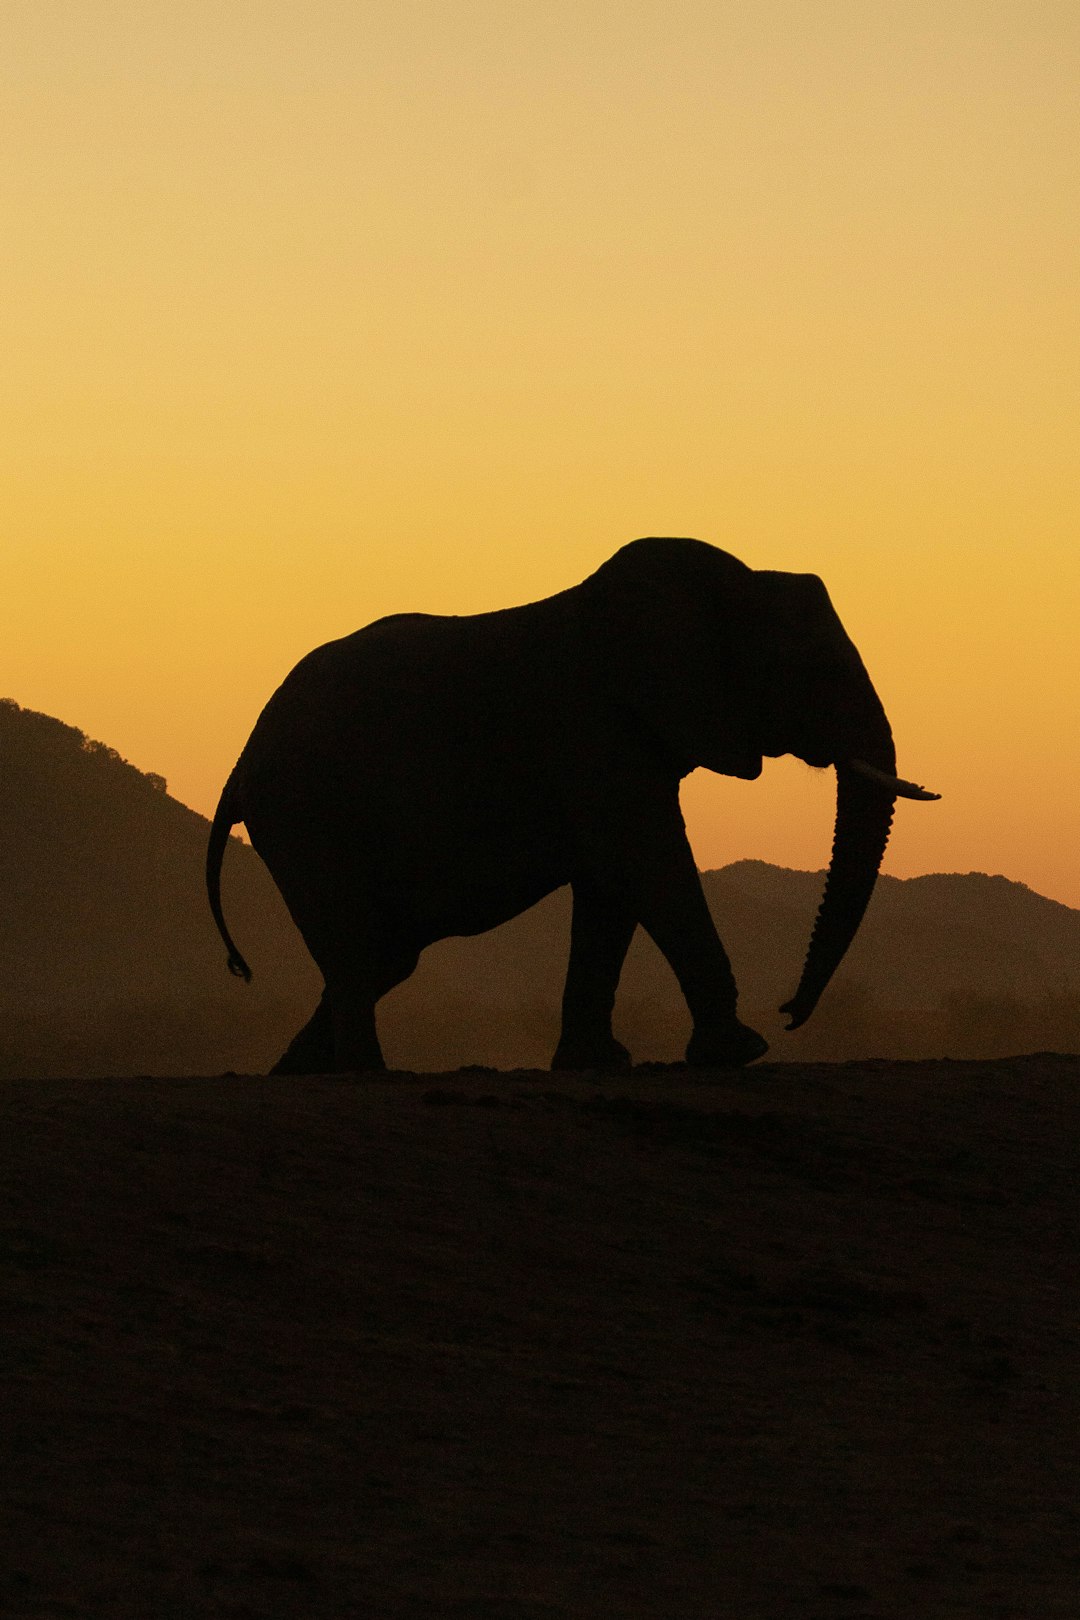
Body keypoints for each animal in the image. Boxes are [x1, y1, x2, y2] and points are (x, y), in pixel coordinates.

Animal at [207, 537, 938, 1074]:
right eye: (815, 668)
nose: (789, 1011)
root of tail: (240, 763)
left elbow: (610, 891)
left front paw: (598, 1064)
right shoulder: (594, 735)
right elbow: (650, 866)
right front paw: (742, 1052)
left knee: (382, 954)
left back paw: (297, 1074)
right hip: (307, 816)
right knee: (362, 951)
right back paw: (368, 1077)